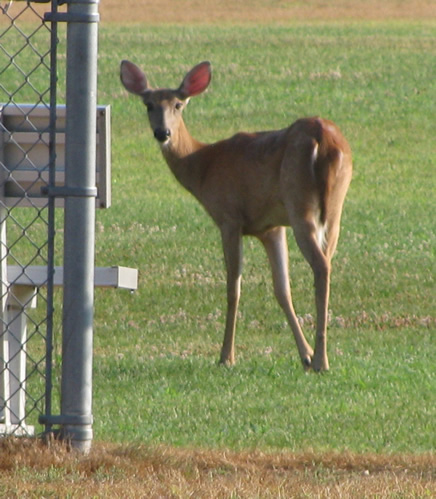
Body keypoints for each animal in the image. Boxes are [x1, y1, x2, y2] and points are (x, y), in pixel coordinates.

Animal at [119, 59, 350, 372]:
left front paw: (226, 356)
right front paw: (304, 354)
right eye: (148, 105)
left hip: (300, 205)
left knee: (321, 266)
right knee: (327, 262)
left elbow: (233, 287)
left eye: (178, 104)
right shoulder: (271, 227)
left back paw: (322, 361)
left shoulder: (229, 217)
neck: (202, 165)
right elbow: (282, 290)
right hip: (334, 209)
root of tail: (324, 139)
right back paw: (318, 357)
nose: (162, 133)